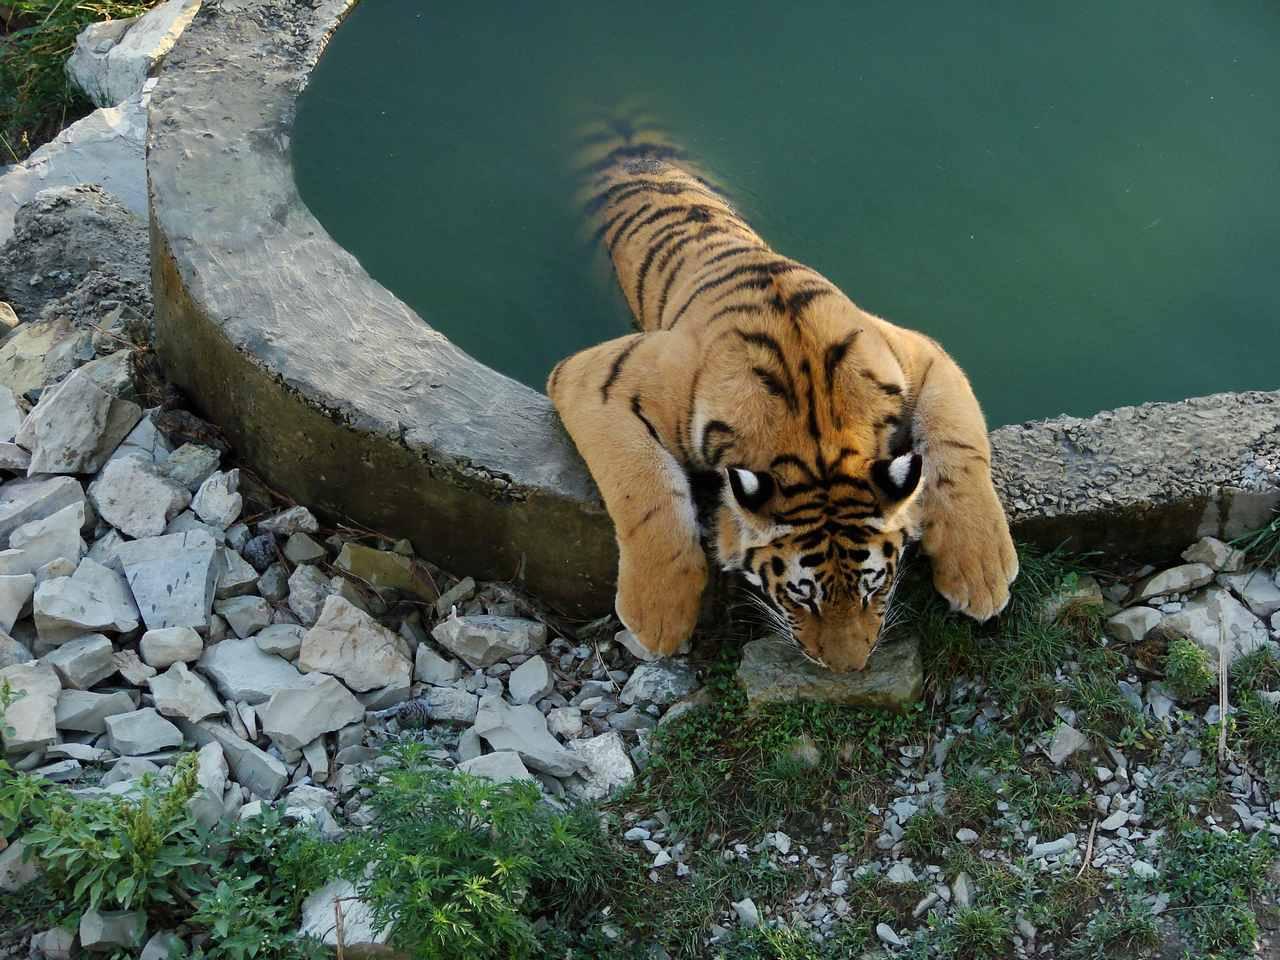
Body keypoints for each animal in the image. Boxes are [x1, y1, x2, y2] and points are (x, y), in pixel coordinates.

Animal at [547, 113, 1018, 672]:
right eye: (800, 596)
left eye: (873, 589)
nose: (848, 669)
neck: (816, 435)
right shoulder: (598, 376)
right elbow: (643, 489)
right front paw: (658, 617)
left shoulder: (921, 355)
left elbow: (959, 448)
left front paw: (981, 571)